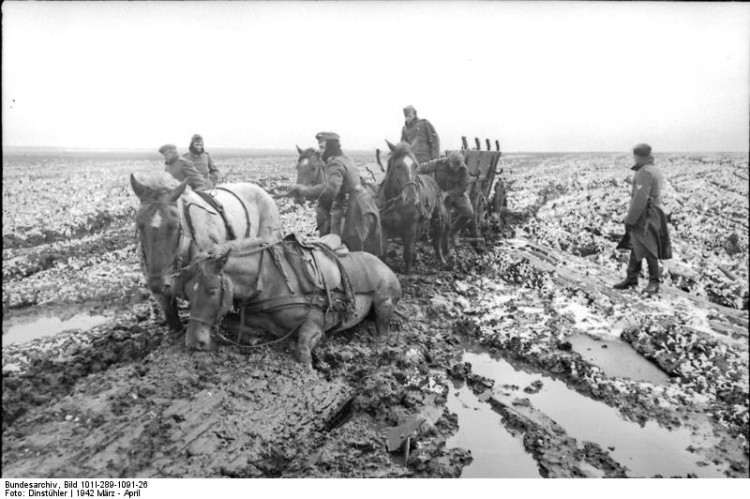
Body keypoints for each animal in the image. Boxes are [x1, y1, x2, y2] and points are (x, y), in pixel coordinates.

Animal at [173, 234, 402, 368]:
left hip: (384, 300)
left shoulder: (315, 323)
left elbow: (302, 350)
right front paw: (252, 336)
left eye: (212, 291)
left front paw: (308, 366)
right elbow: (232, 321)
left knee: (383, 326)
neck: (269, 281)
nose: (194, 343)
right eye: (187, 295)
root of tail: (382, 262)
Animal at [376, 141, 452, 274]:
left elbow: (408, 251)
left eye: (416, 165)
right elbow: (383, 254)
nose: (411, 198)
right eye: (397, 166)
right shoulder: (384, 227)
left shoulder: (410, 226)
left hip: (438, 219)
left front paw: (408, 273)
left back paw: (442, 260)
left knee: (437, 240)